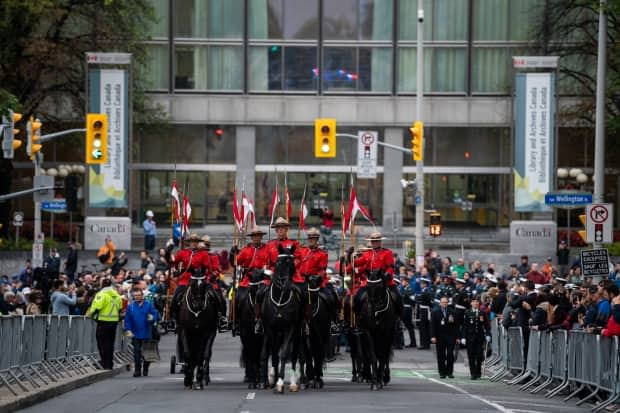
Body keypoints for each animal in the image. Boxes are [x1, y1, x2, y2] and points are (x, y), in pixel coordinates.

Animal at [260, 245, 302, 392]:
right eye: (278, 263)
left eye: (293, 265)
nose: (286, 285)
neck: (280, 298)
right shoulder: (270, 328)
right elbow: (273, 354)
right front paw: (274, 379)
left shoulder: (291, 328)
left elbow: (283, 353)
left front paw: (280, 382)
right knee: (270, 351)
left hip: (295, 332)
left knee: (294, 354)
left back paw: (293, 382)